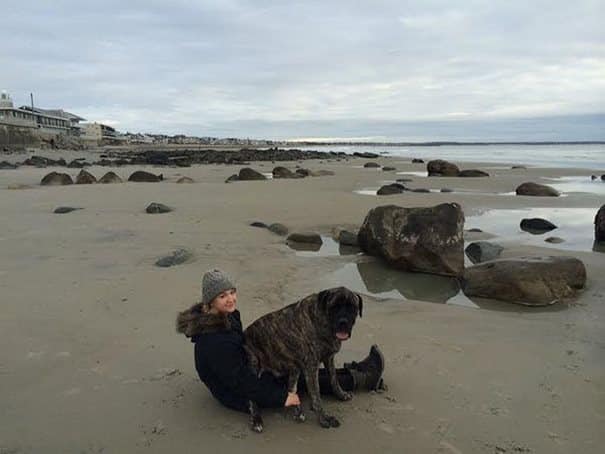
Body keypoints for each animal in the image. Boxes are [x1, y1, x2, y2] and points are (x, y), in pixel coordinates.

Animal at [244, 286, 364, 430]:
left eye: (352, 307)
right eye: (334, 307)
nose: (343, 322)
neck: (322, 321)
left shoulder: (328, 358)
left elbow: (334, 380)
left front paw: (341, 395)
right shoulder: (311, 366)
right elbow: (316, 395)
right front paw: (324, 418)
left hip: (294, 368)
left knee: (291, 388)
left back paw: (297, 411)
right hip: (254, 363)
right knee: (252, 395)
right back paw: (256, 419)